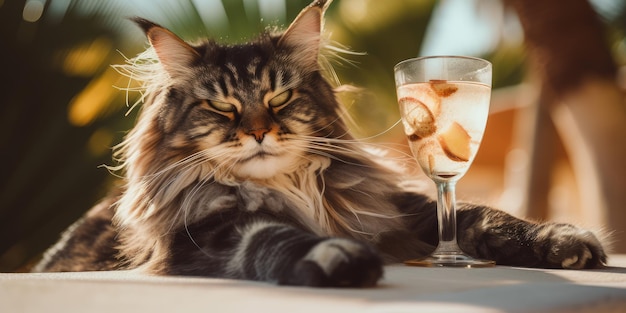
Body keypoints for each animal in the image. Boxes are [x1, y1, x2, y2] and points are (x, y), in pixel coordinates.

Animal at [33, 0, 604, 288]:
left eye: (280, 97)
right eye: (223, 108)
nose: (258, 132)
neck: (288, 187)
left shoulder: (396, 209)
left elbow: (483, 216)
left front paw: (564, 241)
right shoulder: (209, 232)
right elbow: (272, 237)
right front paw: (338, 259)